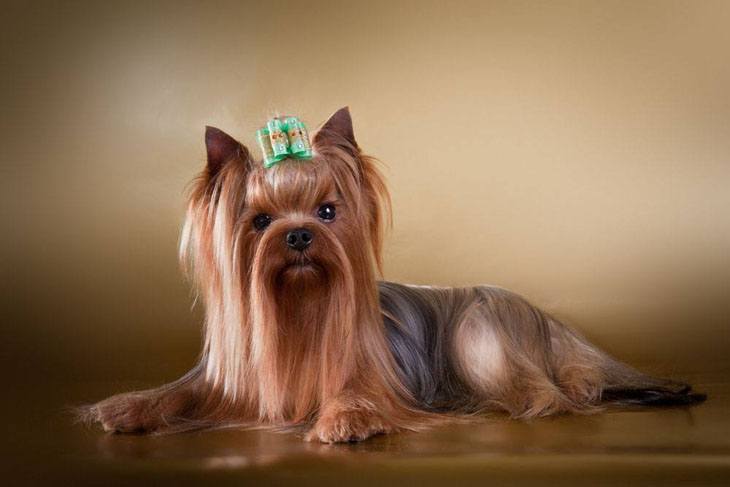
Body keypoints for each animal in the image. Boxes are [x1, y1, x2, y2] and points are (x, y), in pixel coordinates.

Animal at [82, 108, 704, 444]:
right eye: (260, 221)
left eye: (327, 211)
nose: (299, 235)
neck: (302, 310)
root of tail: (550, 321)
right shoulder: (225, 378)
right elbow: (177, 392)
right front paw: (126, 408)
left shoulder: (371, 371)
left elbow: (358, 394)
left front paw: (345, 420)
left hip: (481, 326)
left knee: (552, 389)